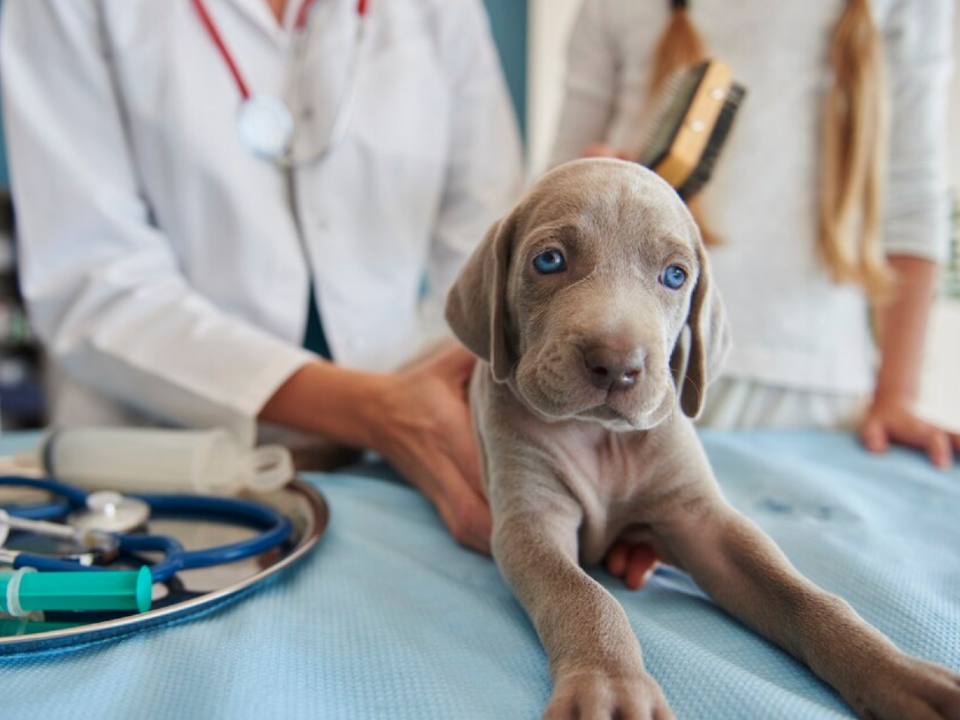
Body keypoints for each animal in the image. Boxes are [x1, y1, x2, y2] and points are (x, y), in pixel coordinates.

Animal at [444, 160, 960, 720]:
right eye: (549, 260)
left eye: (675, 275)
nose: (617, 364)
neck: (602, 438)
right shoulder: (531, 523)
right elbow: (581, 595)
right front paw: (611, 686)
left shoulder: (702, 521)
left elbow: (801, 594)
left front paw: (899, 673)